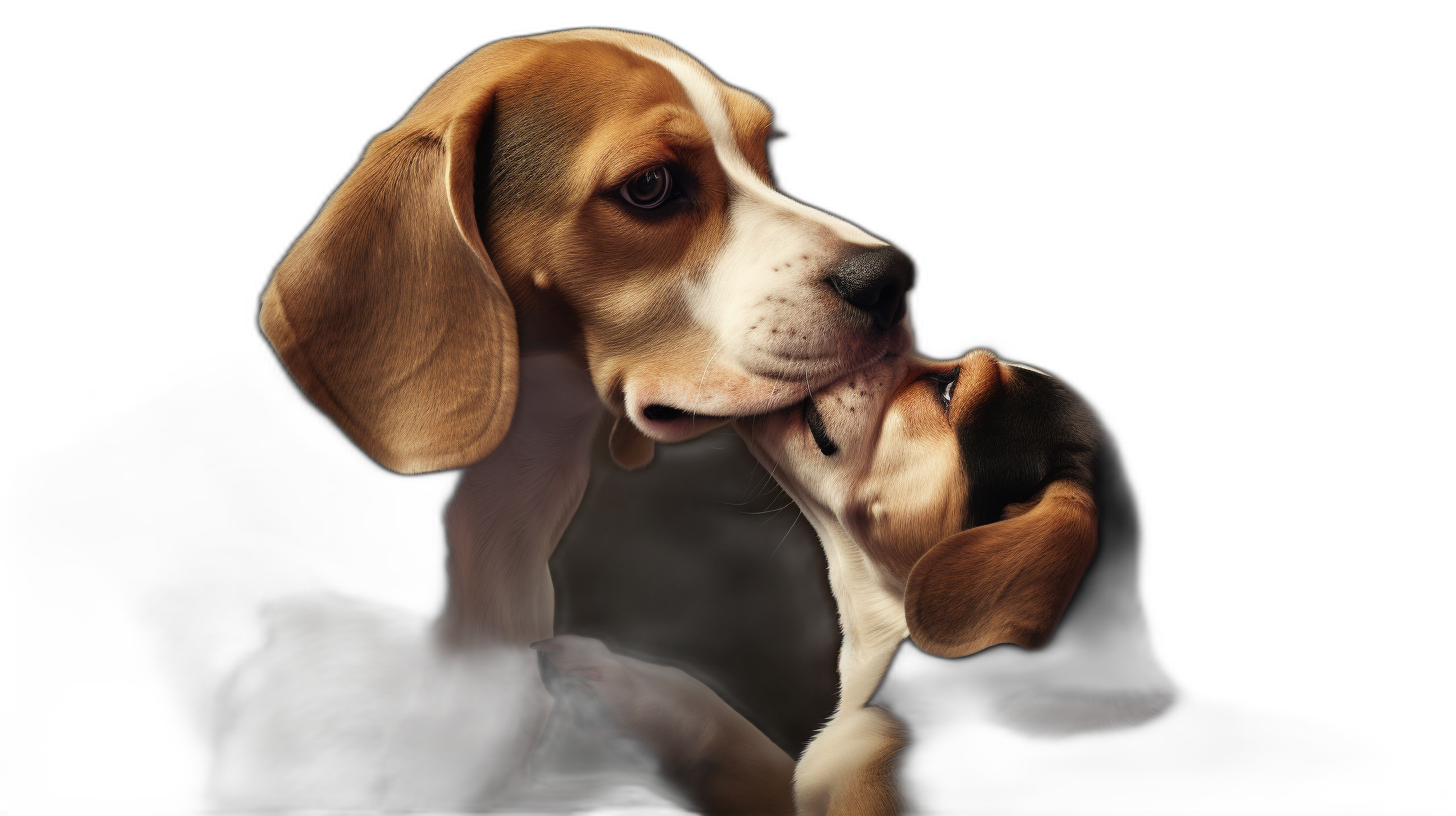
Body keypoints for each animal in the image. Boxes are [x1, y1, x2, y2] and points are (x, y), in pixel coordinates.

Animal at [216, 27, 908, 816]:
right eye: (650, 186)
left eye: (765, 154)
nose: (892, 279)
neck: (497, 521)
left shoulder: (503, 789)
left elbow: (650, 799)